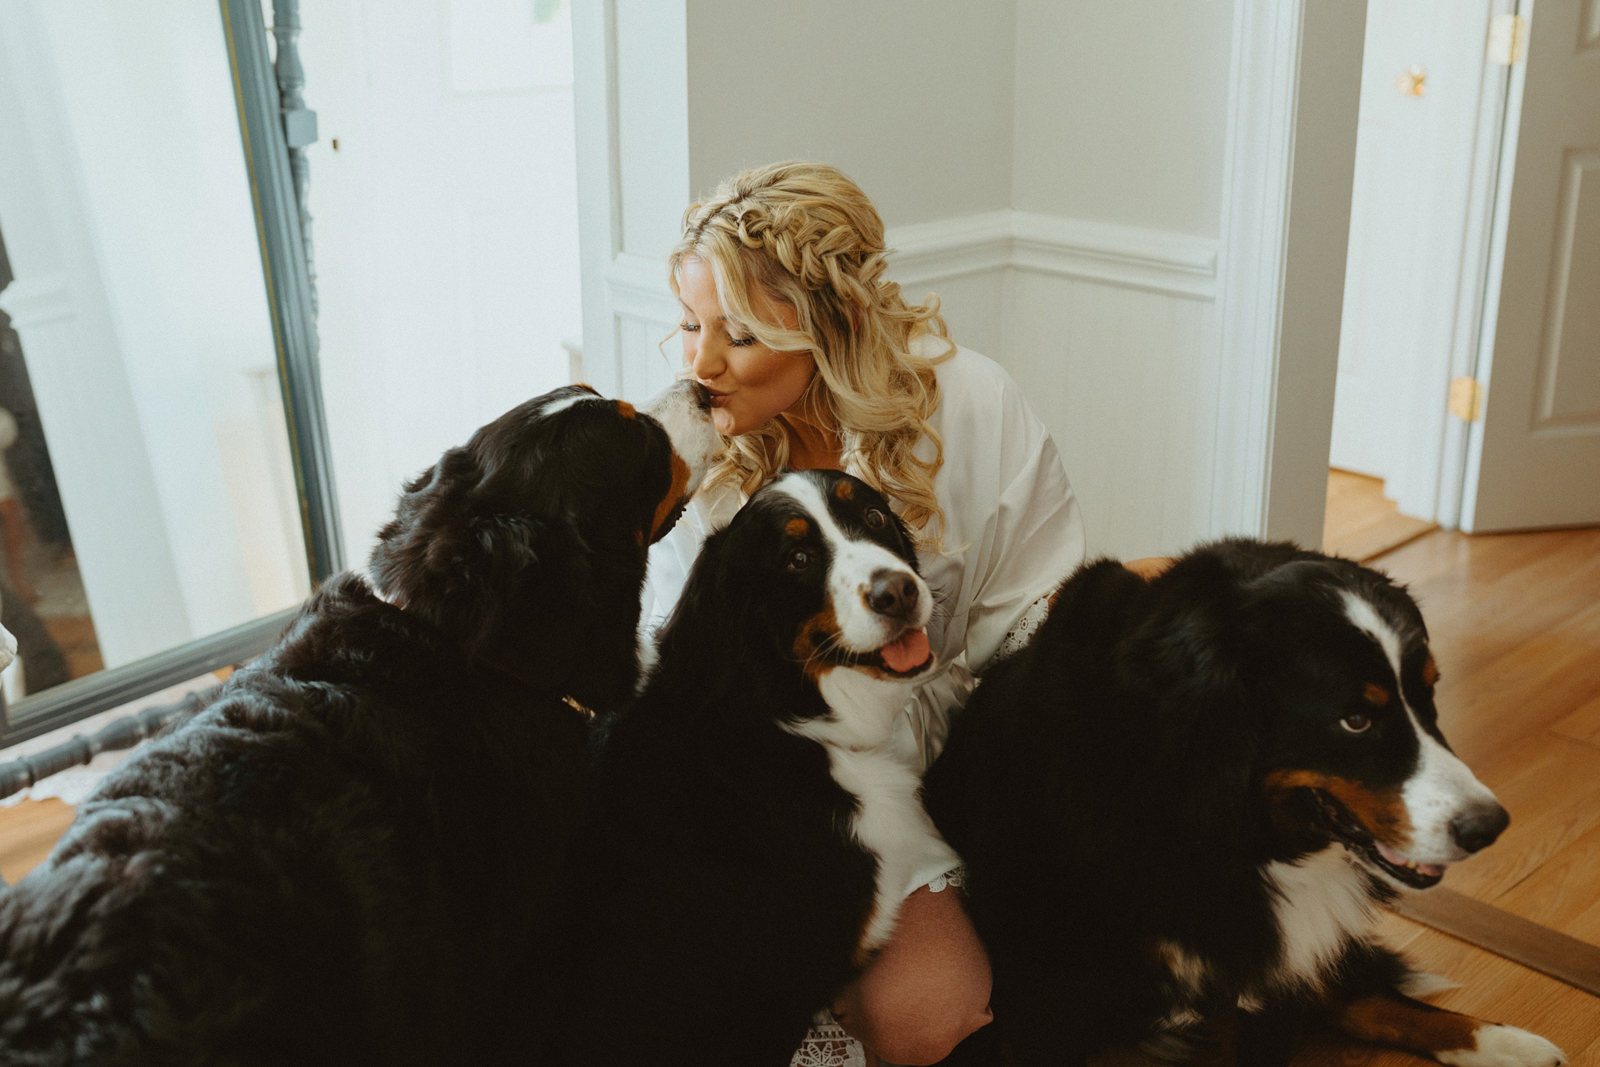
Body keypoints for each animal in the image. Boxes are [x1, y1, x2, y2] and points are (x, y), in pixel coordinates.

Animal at [928, 537, 1561, 1067]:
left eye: (1428, 694)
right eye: (1355, 720)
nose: (1489, 826)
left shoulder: (1274, 969)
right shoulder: (1054, 995)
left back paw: (1509, 1044)